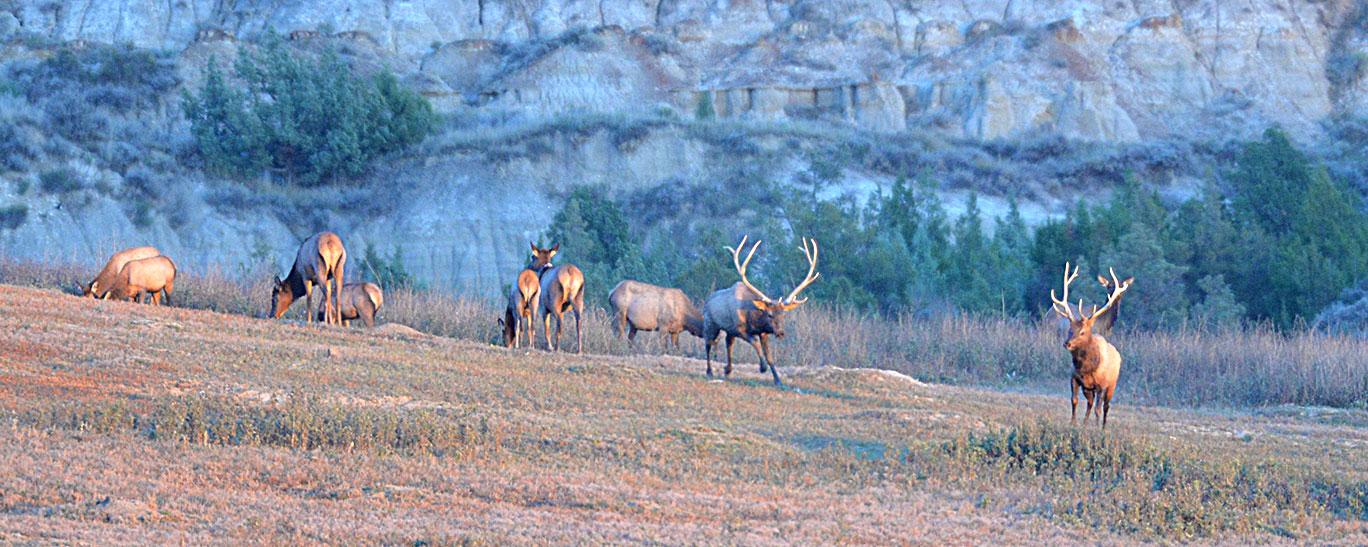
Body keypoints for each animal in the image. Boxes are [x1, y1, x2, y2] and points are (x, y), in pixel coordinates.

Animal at [700, 235, 815, 385]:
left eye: (783, 315)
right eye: (770, 314)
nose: (781, 333)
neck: (753, 319)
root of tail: (707, 300)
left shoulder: (763, 332)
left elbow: (769, 355)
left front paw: (777, 380)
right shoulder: (740, 329)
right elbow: (755, 343)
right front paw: (762, 367)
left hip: (728, 330)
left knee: (728, 343)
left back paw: (728, 370)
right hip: (711, 323)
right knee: (708, 344)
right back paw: (709, 371)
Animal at [1045, 262, 1132, 429]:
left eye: (1083, 332)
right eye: (1070, 329)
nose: (1067, 343)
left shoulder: (1101, 385)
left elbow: (1099, 409)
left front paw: (1097, 428)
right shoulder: (1075, 378)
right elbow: (1074, 400)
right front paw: (1073, 423)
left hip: (1111, 385)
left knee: (1105, 406)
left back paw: (1103, 427)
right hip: (1088, 388)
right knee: (1090, 404)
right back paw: (1085, 423)